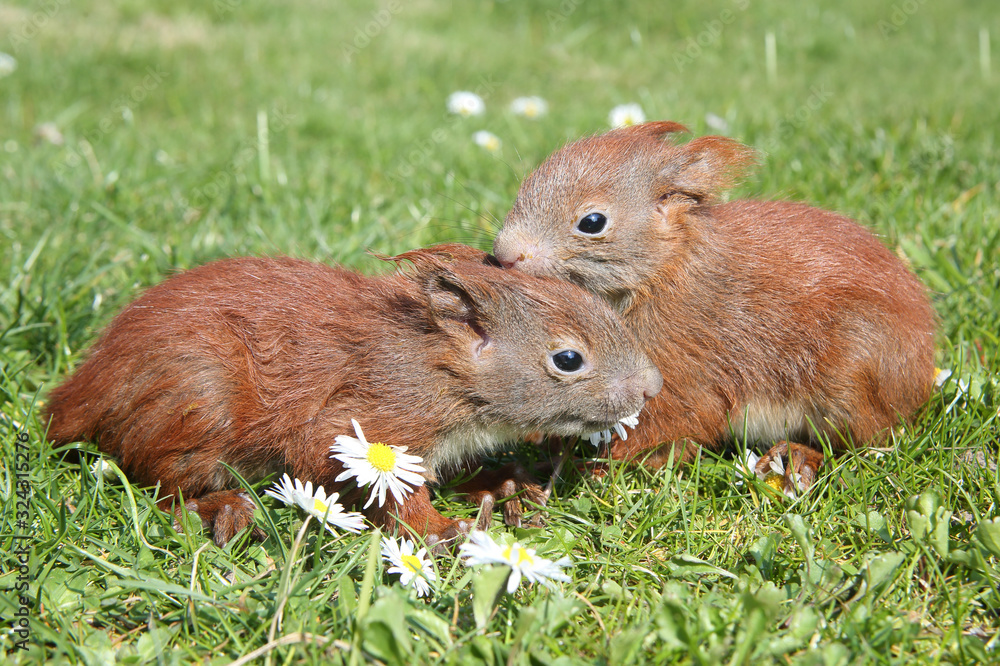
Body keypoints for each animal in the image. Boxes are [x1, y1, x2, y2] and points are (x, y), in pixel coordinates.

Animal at [45, 244, 664, 544]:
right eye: (567, 360)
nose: (650, 387)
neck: (440, 369)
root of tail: (76, 395)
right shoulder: (368, 420)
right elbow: (390, 492)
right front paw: (445, 531)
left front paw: (505, 484)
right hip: (196, 399)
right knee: (159, 485)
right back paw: (222, 509)